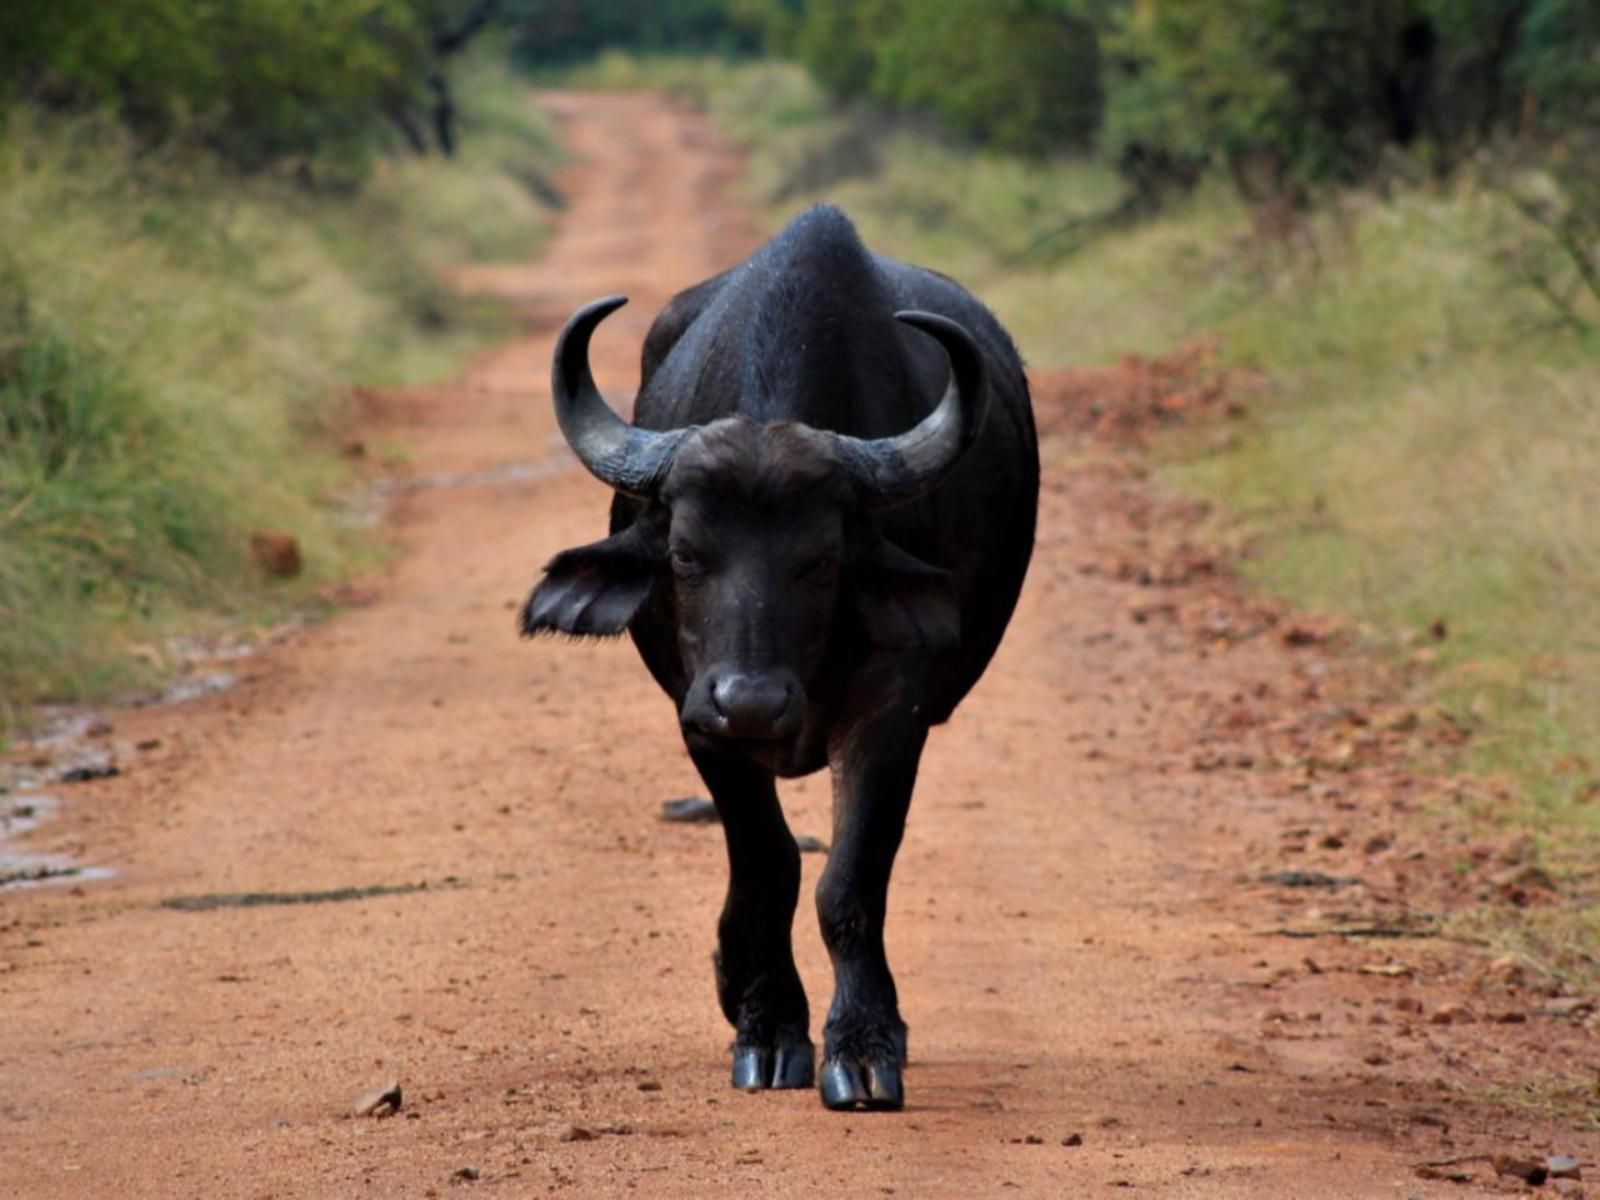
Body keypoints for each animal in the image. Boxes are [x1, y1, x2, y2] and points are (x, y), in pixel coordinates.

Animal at [524, 204, 1036, 1107]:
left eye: (823, 560)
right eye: (686, 554)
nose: (752, 701)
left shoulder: (893, 711)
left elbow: (849, 881)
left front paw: (862, 1045)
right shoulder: (698, 717)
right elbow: (768, 865)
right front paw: (766, 1030)